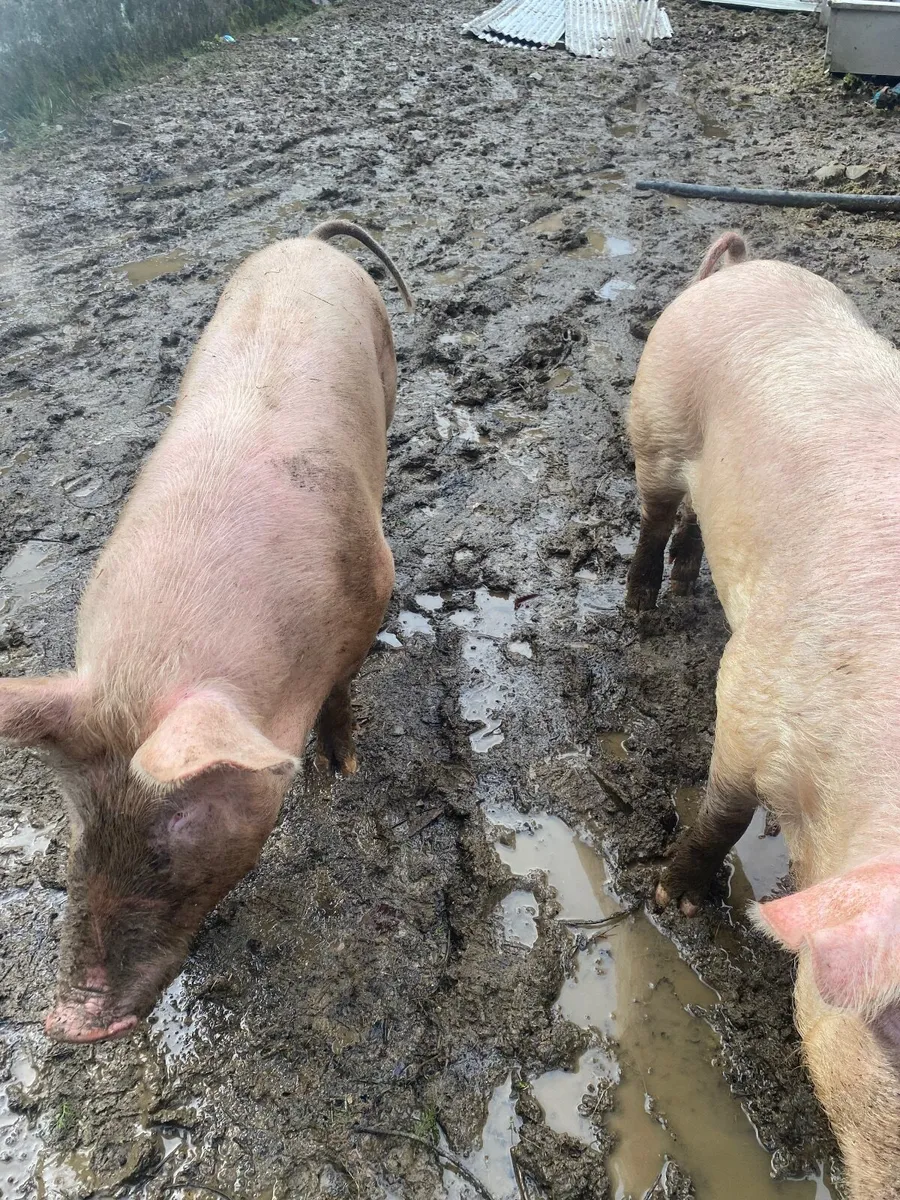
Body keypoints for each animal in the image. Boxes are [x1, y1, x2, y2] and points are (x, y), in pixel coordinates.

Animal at [0, 220, 413, 1043]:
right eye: (75, 816)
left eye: (176, 827)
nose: (68, 1022)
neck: (153, 659)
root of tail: (308, 238)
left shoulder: (372, 592)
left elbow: (343, 699)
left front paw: (341, 772)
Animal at [625, 232, 900, 1197]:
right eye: (893, 1032)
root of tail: (739, 269)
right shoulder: (750, 696)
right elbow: (719, 812)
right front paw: (674, 903)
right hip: (656, 414)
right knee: (656, 510)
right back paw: (643, 605)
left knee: (693, 528)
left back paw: (683, 585)